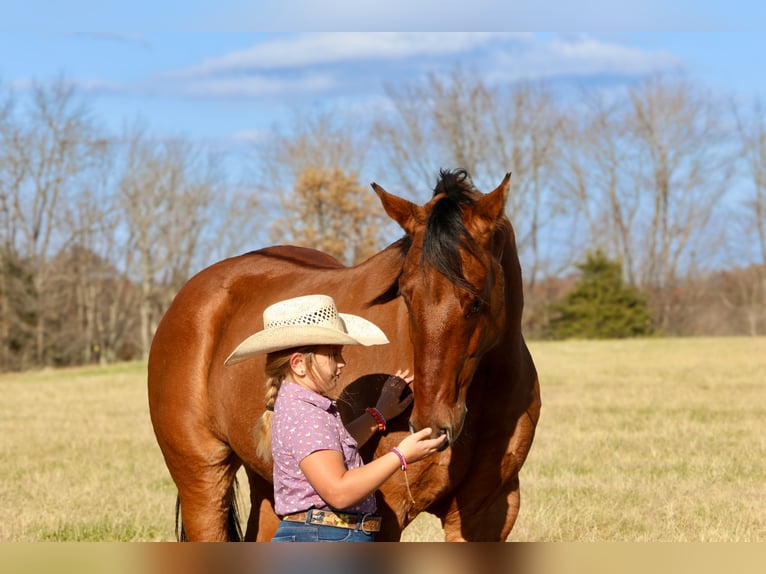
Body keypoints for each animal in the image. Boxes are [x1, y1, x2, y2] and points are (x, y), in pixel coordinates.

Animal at [147, 168, 541, 541]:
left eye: (476, 302)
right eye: (405, 295)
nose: (431, 426)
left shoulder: (485, 515)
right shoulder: (385, 517)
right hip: (203, 481)